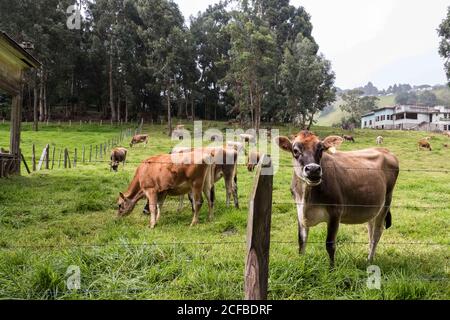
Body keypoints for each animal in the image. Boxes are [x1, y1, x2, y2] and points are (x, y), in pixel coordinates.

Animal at [276, 130, 400, 268]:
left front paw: (332, 269)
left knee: (377, 233)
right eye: (295, 150)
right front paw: (301, 264)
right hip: (373, 207)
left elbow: (330, 245)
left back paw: (370, 259)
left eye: (321, 149)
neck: (307, 199)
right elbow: (301, 241)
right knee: (371, 230)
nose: (313, 169)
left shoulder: (335, 213)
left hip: (387, 201)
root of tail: (384, 150)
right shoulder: (299, 211)